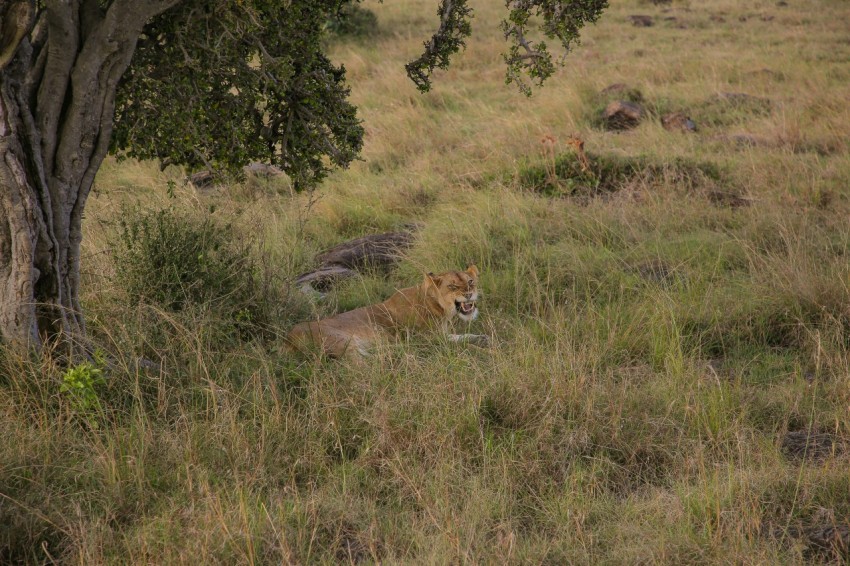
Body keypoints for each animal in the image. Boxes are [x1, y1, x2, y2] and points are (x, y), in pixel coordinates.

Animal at [285, 265, 487, 360]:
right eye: (452, 286)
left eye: (470, 282)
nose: (469, 294)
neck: (439, 308)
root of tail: (288, 338)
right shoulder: (429, 339)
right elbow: (461, 346)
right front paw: (484, 350)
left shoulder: (440, 335)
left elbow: (460, 337)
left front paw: (482, 338)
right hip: (341, 342)